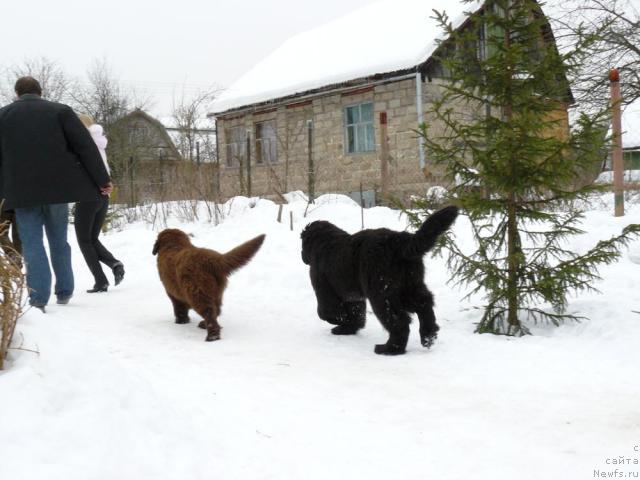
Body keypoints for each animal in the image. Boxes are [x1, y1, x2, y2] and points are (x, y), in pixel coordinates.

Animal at [302, 204, 460, 354]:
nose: (302, 257)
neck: (324, 242)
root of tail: (399, 241)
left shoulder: (323, 286)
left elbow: (326, 312)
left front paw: (341, 321)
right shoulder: (353, 295)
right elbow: (356, 312)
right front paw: (347, 328)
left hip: (382, 292)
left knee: (400, 322)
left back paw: (389, 349)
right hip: (409, 285)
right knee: (424, 303)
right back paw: (428, 336)